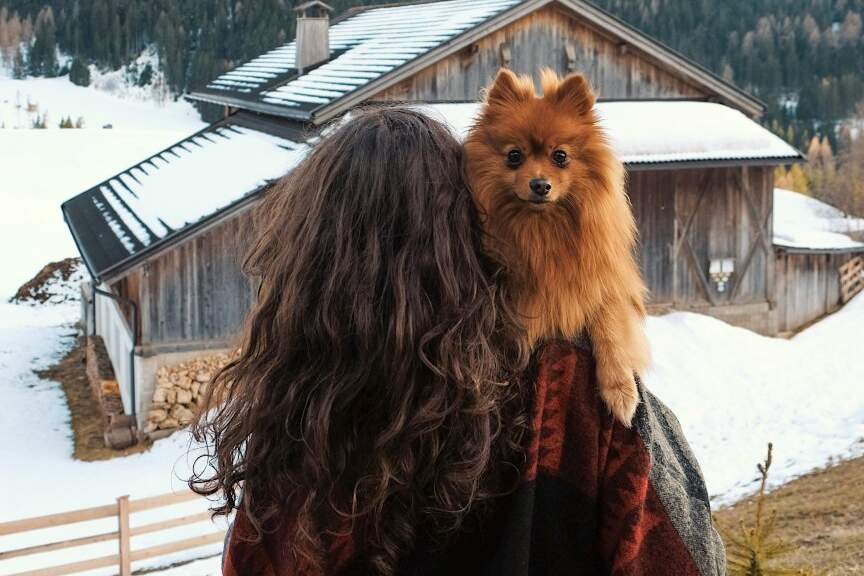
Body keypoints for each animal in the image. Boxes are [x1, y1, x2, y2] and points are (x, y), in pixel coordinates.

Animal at [466, 70, 648, 426]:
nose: (540, 184)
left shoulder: (607, 284)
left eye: (560, 156)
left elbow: (610, 327)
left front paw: (620, 390)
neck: (542, 229)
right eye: (514, 156)